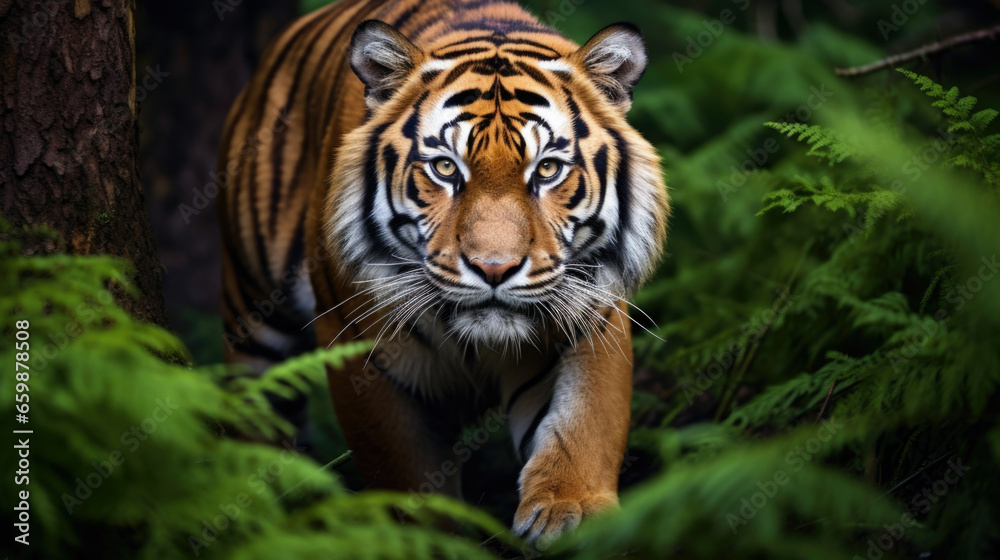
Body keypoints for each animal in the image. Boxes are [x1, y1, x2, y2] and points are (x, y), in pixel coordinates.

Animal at [217, 0, 668, 543]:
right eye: (446, 168)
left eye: (546, 169)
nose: (494, 268)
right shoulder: (359, 352)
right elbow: (402, 471)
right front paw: (426, 538)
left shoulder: (593, 316)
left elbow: (585, 422)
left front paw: (571, 513)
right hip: (253, 319)